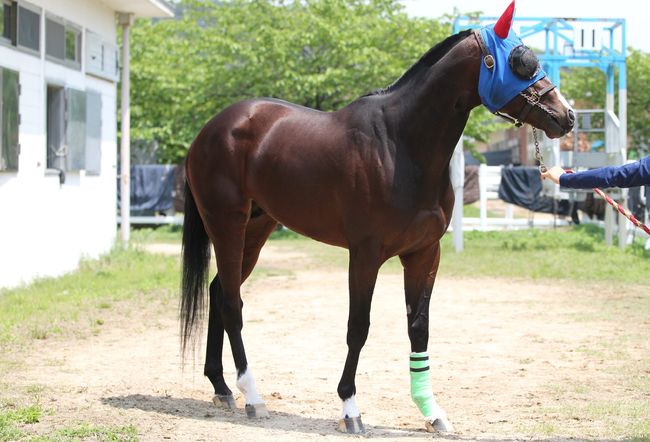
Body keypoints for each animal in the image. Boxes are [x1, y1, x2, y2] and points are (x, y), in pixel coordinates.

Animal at [178, 0, 572, 434]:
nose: (566, 116)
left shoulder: (424, 254)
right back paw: (252, 396)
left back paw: (221, 386)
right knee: (232, 302)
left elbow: (419, 327)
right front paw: (350, 408)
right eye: (520, 62)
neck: (400, 144)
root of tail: (211, 129)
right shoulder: (365, 254)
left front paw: (432, 412)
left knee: (218, 291)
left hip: (257, 227)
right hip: (227, 225)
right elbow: (359, 328)